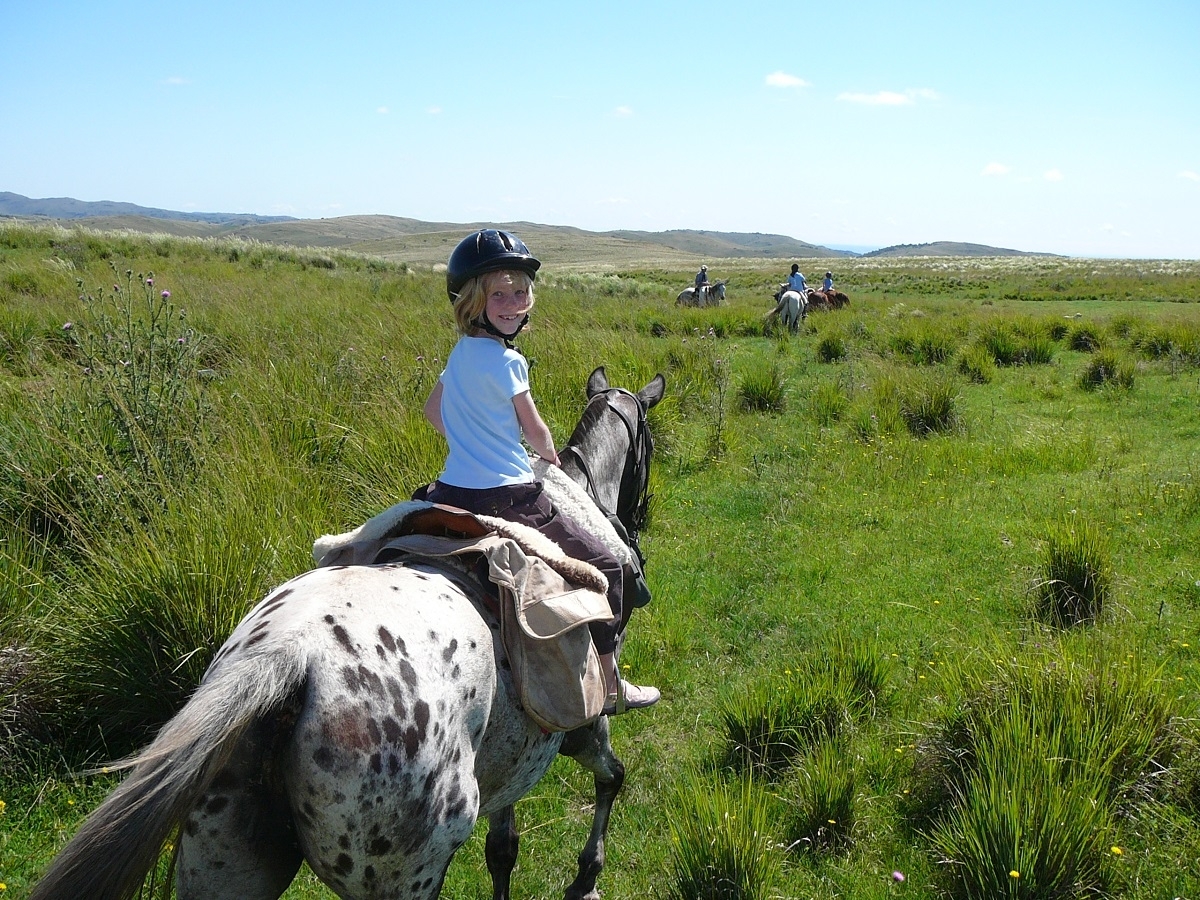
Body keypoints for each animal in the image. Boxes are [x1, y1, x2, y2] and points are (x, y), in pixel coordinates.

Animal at [29, 365, 666, 900]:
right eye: (650, 445)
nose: (640, 522)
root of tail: (283, 659)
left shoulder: (516, 757)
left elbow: (503, 849)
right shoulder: (583, 721)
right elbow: (612, 778)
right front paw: (586, 876)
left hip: (225, 861)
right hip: (403, 875)